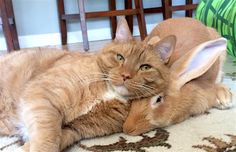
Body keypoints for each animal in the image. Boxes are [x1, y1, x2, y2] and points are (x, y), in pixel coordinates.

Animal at [0, 18, 175, 151]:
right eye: (120, 57)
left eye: (145, 67)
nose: (125, 76)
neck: (109, 92)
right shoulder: (42, 96)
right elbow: (48, 137)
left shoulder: (74, 130)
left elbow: (56, 139)